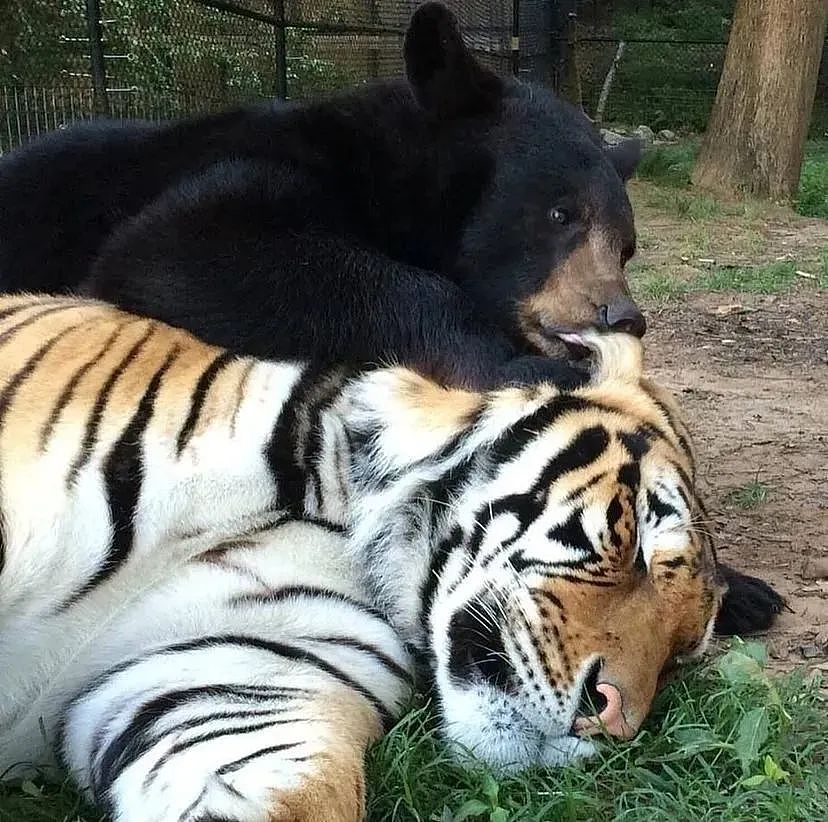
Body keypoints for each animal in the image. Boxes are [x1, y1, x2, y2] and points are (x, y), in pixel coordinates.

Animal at [0, 3, 644, 389]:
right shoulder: (256, 163)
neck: (386, 173)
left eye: (627, 246)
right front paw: (516, 362)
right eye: (561, 213)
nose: (624, 316)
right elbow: (171, 245)